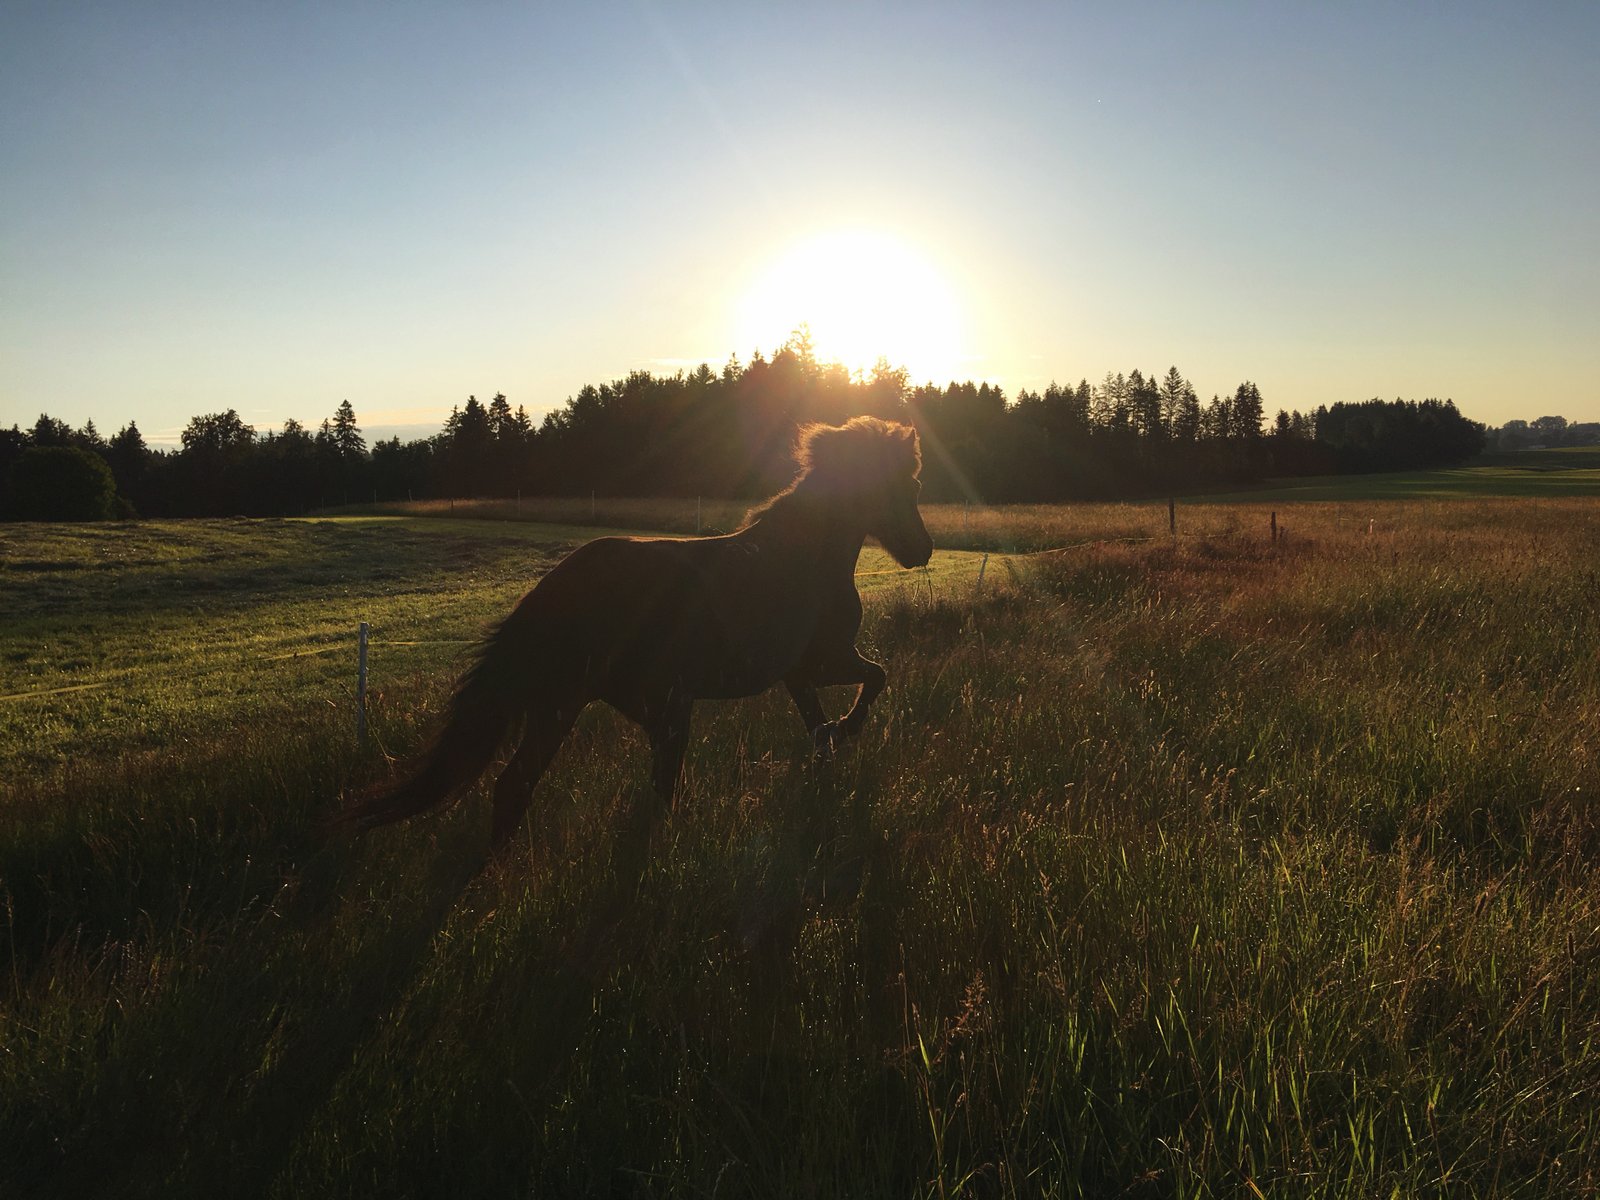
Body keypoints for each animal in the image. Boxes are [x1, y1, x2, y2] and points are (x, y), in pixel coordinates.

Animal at [335, 416, 934, 852]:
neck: (802, 556)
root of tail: (546, 594)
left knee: (570, 784)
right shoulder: (823, 660)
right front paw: (847, 729)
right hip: (594, 704)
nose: (922, 550)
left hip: (621, 706)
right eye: (908, 484)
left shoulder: (796, 675)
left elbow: (821, 730)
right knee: (532, 784)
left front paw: (829, 760)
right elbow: (876, 678)